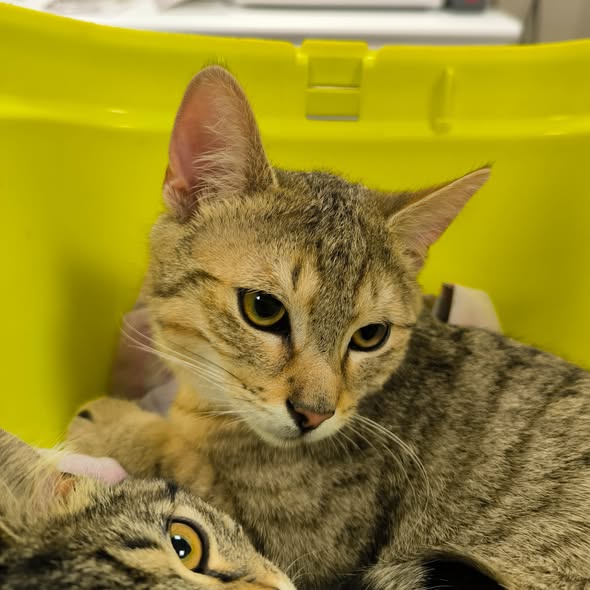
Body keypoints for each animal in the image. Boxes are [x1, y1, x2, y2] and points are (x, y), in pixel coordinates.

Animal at [67, 66, 590, 590]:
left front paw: (112, 422)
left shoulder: (292, 547)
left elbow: (180, 466)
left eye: (370, 336)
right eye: (262, 308)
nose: (314, 414)